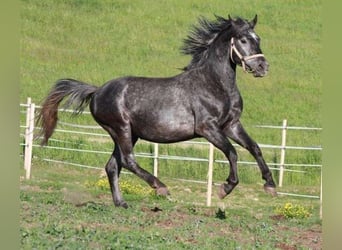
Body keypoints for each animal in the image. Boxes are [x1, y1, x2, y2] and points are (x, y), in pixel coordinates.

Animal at [36, 14, 278, 208]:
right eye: (243, 39)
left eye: (258, 39)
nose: (262, 67)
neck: (213, 83)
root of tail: (97, 91)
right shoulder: (208, 128)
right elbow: (233, 152)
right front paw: (225, 189)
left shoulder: (231, 125)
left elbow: (255, 148)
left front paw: (270, 185)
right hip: (121, 128)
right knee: (128, 161)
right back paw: (160, 187)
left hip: (129, 133)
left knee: (113, 165)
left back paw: (121, 203)